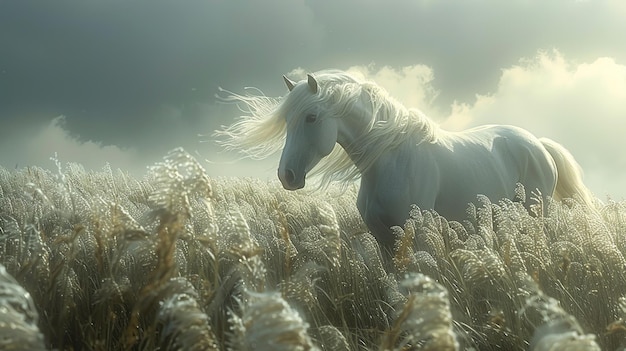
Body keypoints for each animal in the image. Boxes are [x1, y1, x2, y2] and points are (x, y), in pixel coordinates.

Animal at [217, 69, 592, 250]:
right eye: (286, 121)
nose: (288, 175)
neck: (389, 160)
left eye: (310, 118)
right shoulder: (384, 239)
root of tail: (537, 144)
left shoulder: (416, 233)